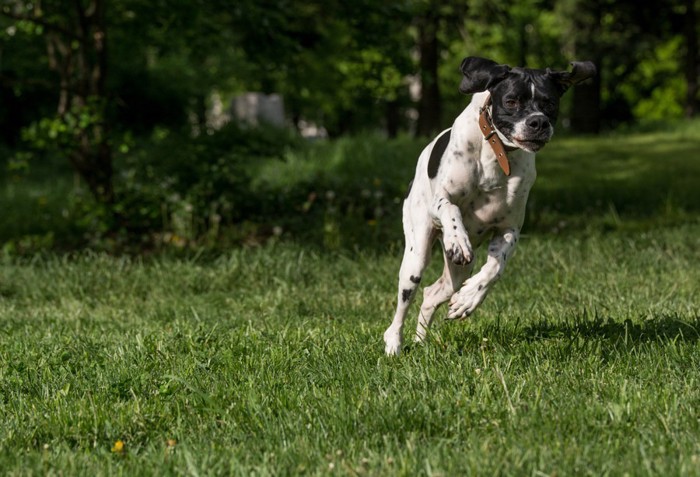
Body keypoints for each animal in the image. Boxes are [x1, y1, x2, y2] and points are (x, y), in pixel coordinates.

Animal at [382, 55, 596, 354]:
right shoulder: (442, 200)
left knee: (431, 293)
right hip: (416, 256)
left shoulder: (509, 229)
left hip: (459, 271)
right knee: (405, 300)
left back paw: (422, 340)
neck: (497, 152)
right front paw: (458, 239)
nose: (538, 122)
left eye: (549, 103)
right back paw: (394, 344)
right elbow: (450, 208)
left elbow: (495, 267)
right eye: (511, 101)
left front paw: (469, 298)